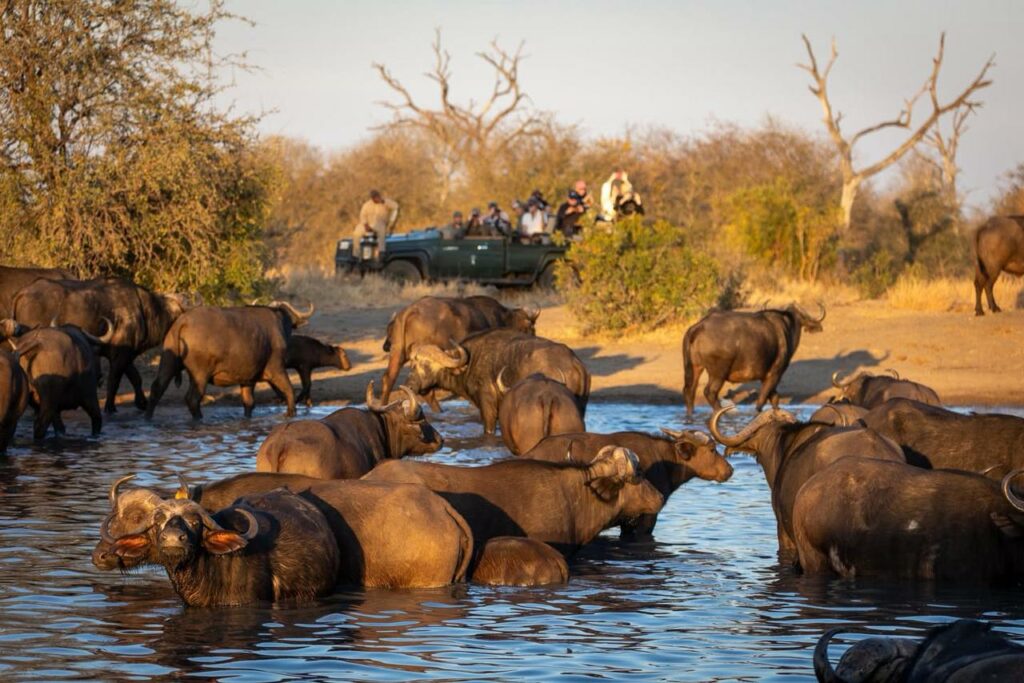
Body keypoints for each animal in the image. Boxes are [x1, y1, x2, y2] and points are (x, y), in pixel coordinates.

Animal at [12, 276, 185, 413]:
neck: (146, 311)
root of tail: (23, 292)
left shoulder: (125, 355)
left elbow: (135, 377)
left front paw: (142, 402)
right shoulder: (120, 356)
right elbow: (114, 381)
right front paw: (110, 407)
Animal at [146, 301, 314, 419]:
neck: (279, 324)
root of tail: (183, 321)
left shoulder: (248, 380)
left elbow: (249, 403)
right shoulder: (277, 369)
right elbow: (289, 390)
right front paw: (290, 414)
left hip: (168, 362)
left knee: (157, 388)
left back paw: (148, 417)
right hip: (199, 375)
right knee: (193, 399)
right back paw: (199, 418)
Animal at [380, 295, 539, 408]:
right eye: (531, 328)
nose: (533, 338)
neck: (503, 318)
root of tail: (410, 310)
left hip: (397, 353)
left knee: (389, 378)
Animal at [406, 328, 590, 434]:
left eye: (426, 364)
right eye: (413, 364)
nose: (410, 385)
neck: (471, 360)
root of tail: (574, 362)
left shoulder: (488, 407)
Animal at [682, 303, 825, 415]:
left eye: (800, 317)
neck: (786, 328)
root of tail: (699, 326)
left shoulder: (767, 377)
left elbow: (775, 398)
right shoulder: (775, 374)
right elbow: (762, 400)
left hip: (694, 368)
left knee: (689, 391)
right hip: (718, 373)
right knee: (710, 392)